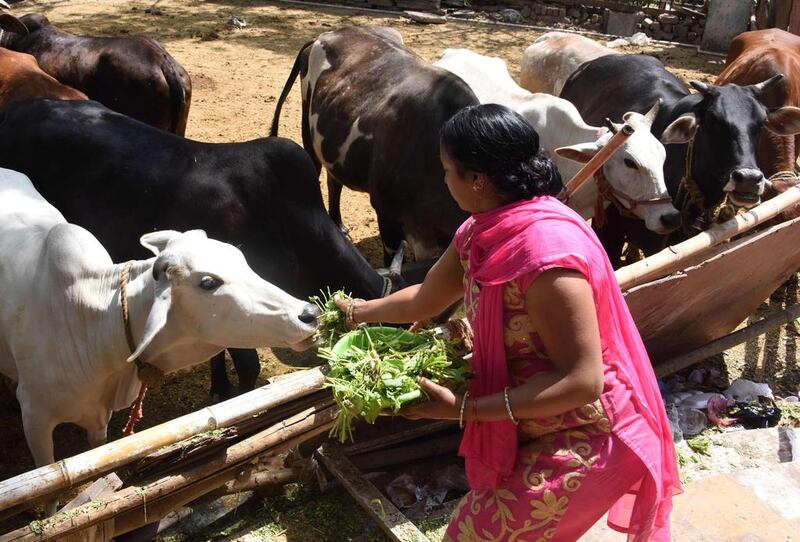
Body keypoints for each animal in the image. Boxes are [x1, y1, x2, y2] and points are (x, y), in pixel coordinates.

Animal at [0, 168, 318, 508]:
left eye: (240, 257)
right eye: (208, 282)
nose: (309, 313)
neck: (90, 324)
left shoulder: (99, 420)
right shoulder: (36, 419)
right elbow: (50, 497)